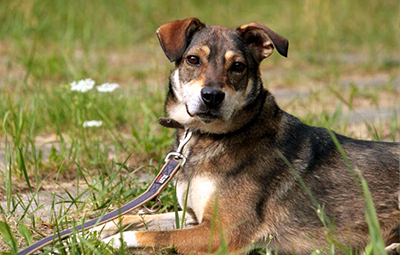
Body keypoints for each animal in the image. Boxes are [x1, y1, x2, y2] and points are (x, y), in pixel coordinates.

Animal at [95, 18, 398, 255]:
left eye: (238, 66)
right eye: (193, 59)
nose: (212, 96)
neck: (207, 136)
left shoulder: (222, 232)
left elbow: (151, 234)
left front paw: (107, 241)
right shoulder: (193, 217)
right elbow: (134, 217)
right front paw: (92, 230)